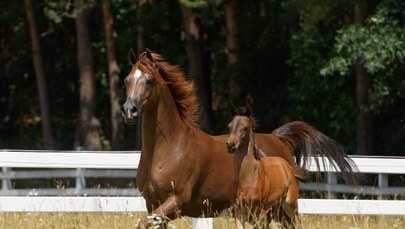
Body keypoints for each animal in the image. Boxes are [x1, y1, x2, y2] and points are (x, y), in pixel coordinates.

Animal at [120, 49, 356, 226]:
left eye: (149, 80)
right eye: (127, 79)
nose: (129, 111)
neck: (168, 148)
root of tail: (277, 138)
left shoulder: (176, 201)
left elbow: (142, 222)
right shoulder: (152, 204)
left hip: (278, 207)